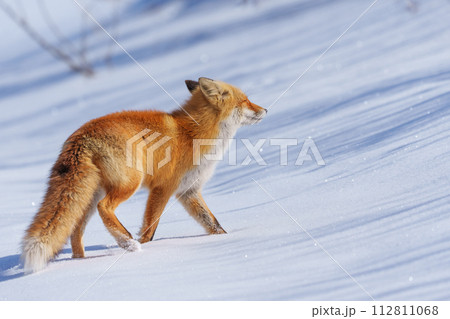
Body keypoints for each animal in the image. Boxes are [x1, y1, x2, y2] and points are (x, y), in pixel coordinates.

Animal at [21, 78, 268, 276]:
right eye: (246, 100)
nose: (265, 110)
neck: (194, 133)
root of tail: (81, 136)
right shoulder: (163, 188)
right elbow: (150, 229)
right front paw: (145, 247)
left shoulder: (188, 191)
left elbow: (214, 224)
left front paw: (225, 239)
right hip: (129, 183)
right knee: (104, 208)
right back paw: (126, 242)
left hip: (89, 195)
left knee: (75, 230)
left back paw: (80, 262)